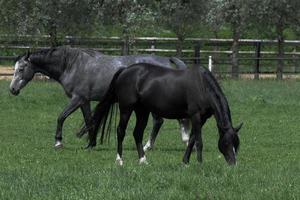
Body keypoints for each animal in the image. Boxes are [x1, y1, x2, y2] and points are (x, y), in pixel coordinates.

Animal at [89, 64, 241, 166]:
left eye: (237, 143)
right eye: (226, 142)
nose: (233, 163)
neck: (202, 86)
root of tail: (125, 70)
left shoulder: (202, 119)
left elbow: (192, 139)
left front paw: (185, 162)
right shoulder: (196, 116)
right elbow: (199, 141)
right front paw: (199, 163)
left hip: (142, 111)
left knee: (137, 133)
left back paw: (143, 160)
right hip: (126, 108)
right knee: (121, 131)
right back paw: (120, 160)